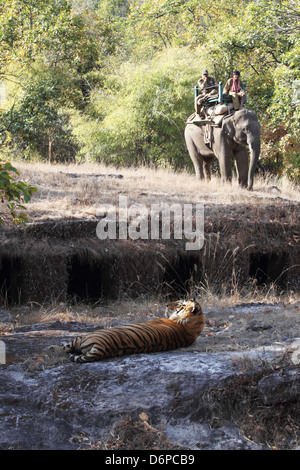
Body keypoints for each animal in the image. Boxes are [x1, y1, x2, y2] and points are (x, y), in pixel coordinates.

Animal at [49, 302, 205, 364]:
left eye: (179, 304)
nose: (166, 305)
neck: (190, 327)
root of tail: (102, 348)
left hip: (84, 337)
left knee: (65, 348)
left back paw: (53, 347)